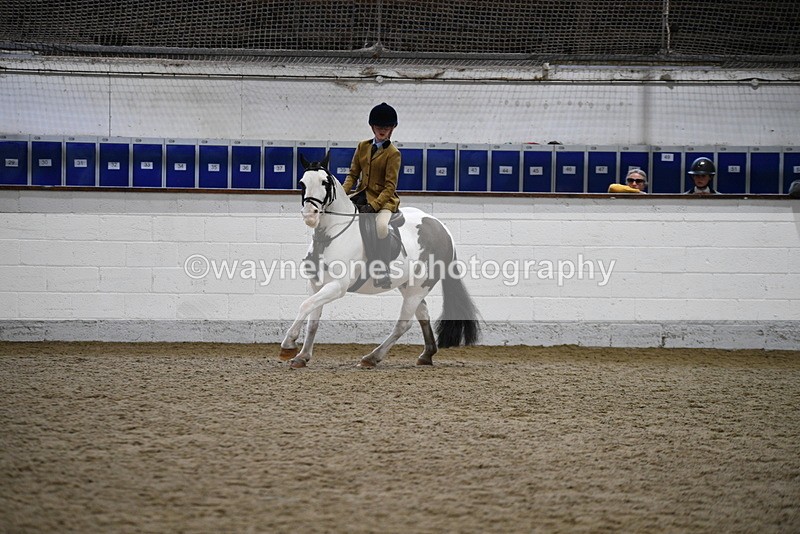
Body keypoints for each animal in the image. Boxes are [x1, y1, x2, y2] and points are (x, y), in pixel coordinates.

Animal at [279, 152, 480, 368]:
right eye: (302, 183)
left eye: (325, 182)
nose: (310, 215)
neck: (330, 235)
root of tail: (442, 229)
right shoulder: (316, 283)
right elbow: (312, 319)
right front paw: (302, 356)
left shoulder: (337, 286)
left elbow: (305, 306)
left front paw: (288, 344)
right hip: (408, 285)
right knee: (423, 315)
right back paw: (426, 355)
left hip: (420, 285)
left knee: (404, 323)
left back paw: (372, 357)